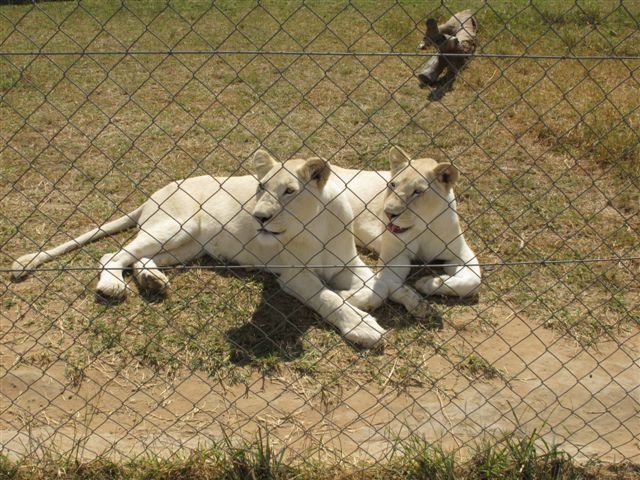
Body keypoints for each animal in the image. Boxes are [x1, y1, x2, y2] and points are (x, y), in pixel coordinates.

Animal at [12, 152, 388, 346]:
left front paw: (357, 301)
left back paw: (153, 281)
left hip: (187, 244)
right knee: (114, 255)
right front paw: (363, 327)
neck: (315, 225)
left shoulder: (350, 263)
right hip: (177, 225)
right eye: (261, 187)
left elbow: (371, 289)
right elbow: (327, 298)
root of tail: (157, 192)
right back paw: (112, 285)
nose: (258, 217)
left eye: (289, 191)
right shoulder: (294, 276)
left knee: (139, 259)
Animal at [336, 146, 480, 316]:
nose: (388, 213)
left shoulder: (459, 251)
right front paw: (418, 303)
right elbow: (388, 286)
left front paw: (430, 282)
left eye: (418, 192)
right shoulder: (394, 257)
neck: (422, 229)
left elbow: (475, 281)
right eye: (393, 185)